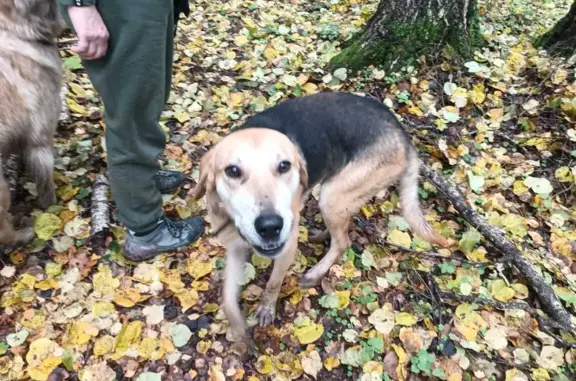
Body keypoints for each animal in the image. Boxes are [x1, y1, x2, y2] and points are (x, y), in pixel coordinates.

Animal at [190, 92, 450, 338]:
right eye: (232, 171)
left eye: (284, 166)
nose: (271, 226)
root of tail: (403, 134)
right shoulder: (234, 248)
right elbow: (228, 299)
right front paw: (238, 328)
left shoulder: (287, 248)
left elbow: (273, 283)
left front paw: (266, 308)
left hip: (331, 196)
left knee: (343, 241)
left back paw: (316, 272)